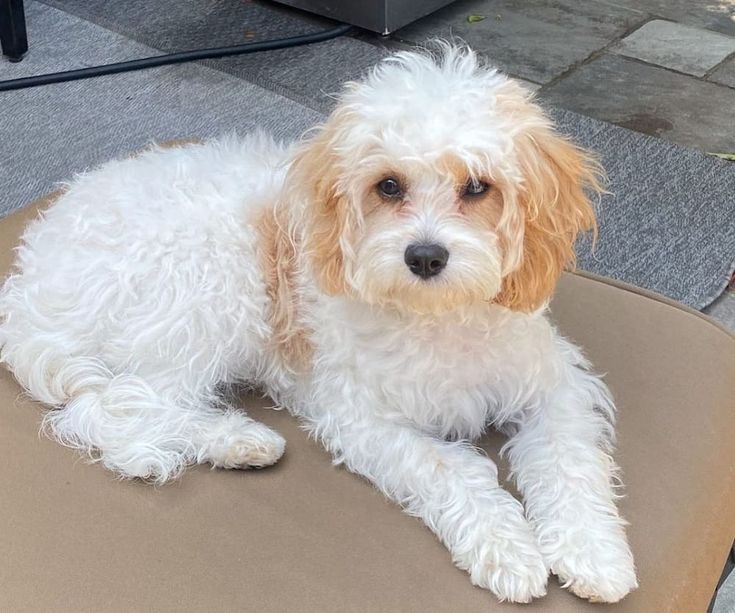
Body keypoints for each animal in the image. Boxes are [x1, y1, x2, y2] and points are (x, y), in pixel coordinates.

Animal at [0, 44, 640, 604]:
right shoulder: (362, 416)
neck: (435, 317)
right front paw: (507, 549)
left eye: (478, 186)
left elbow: (569, 462)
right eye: (388, 185)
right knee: (116, 408)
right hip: (212, 282)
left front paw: (593, 555)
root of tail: (27, 280)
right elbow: (450, 469)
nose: (425, 256)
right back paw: (237, 439)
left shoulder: (554, 384)